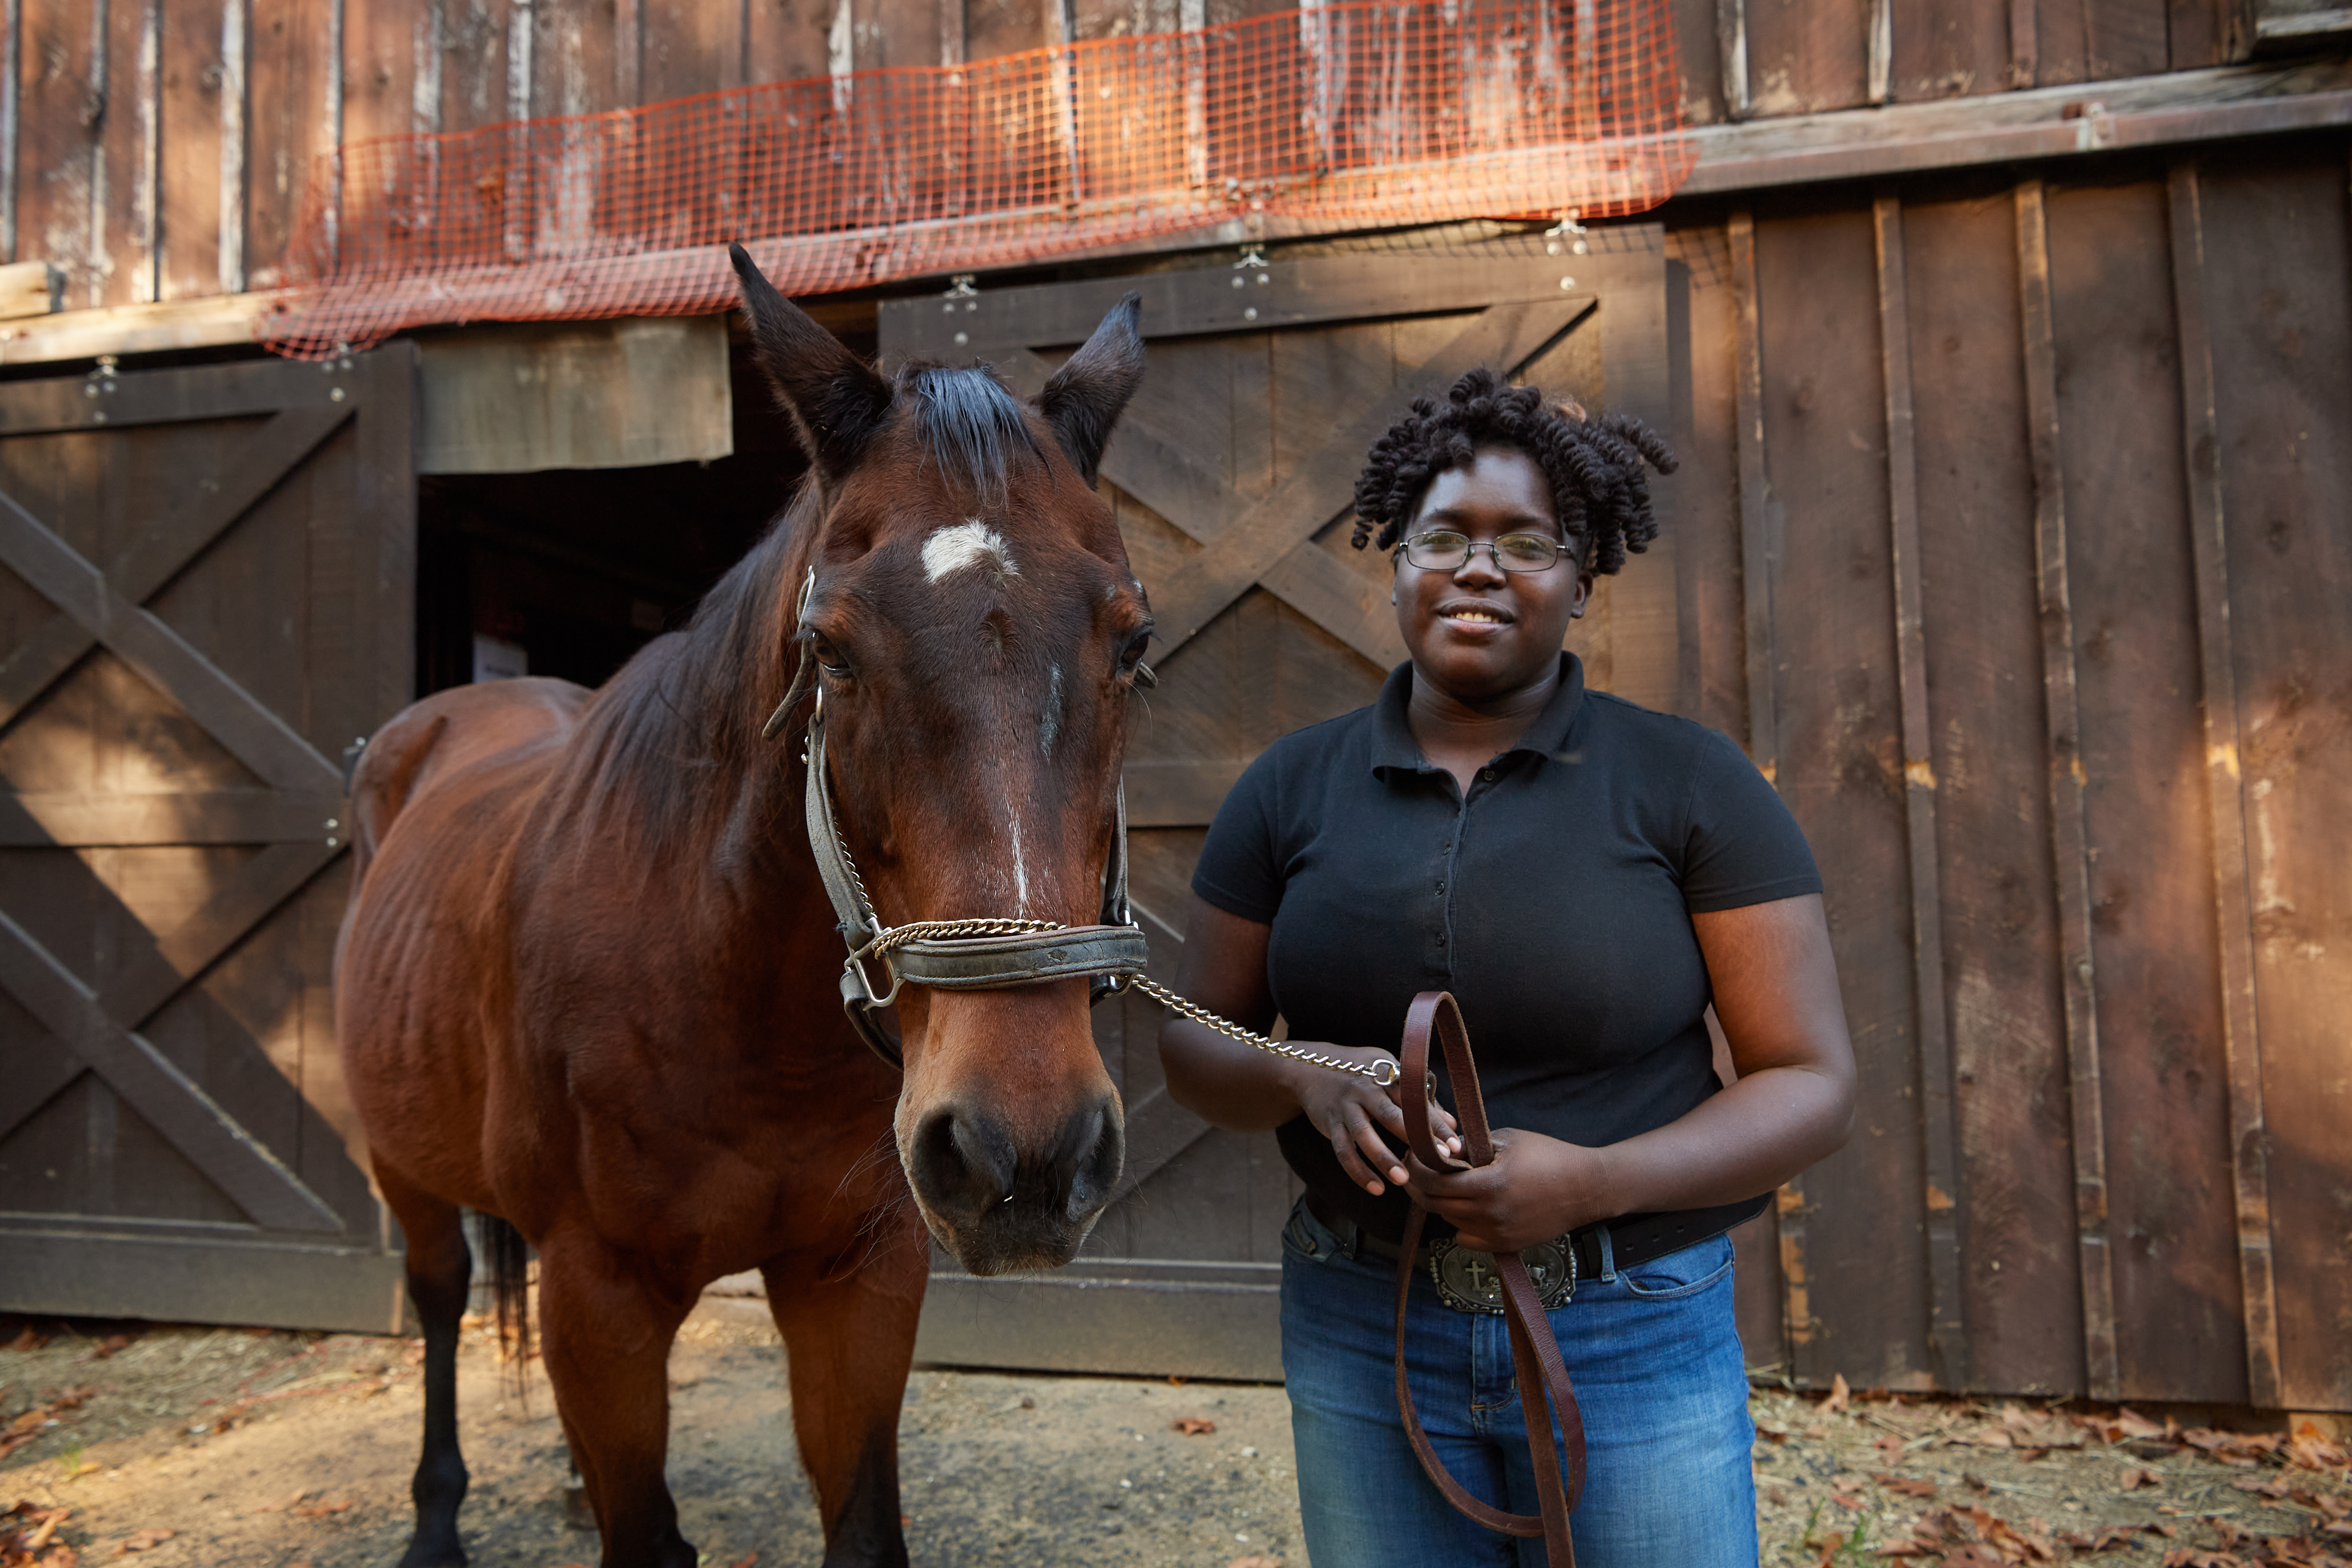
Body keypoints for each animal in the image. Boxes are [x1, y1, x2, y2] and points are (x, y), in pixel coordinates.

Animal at [338, 248, 1157, 1568]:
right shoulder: (601, 1297)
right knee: (441, 1303)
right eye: (831, 651)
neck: (731, 996)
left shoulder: (855, 1280)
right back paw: (435, 1523)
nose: (1025, 1151)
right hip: (404, 1172)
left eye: (1134, 645)